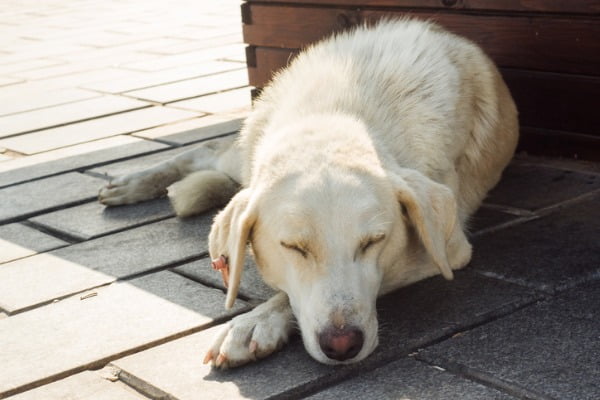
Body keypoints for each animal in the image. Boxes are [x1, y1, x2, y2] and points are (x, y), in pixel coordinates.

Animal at [98, 19, 516, 368]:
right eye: (293, 248)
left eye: (374, 242)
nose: (342, 345)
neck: (338, 114)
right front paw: (255, 318)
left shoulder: (447, 252)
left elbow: (296, 295)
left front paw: (256, 321)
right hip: (243, 155)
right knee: (206, 151)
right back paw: (132, 182)